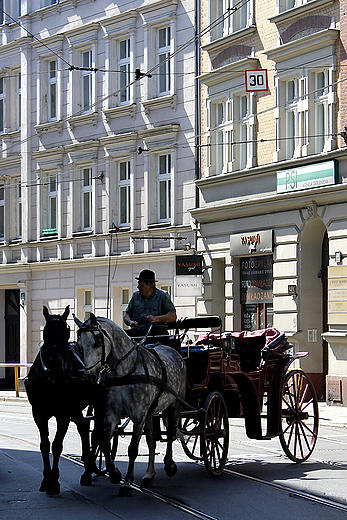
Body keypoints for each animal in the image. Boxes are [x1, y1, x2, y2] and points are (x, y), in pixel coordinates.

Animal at [24, 306, 94, 494]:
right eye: (46, 332)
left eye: (66, 332)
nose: (55, 362)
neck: (52, 378)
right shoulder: (39, 413)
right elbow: (44, 445)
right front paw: (45, 479)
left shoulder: (63, 414)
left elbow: (57, 446)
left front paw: (54, 482)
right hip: (75, 408)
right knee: (83, 427)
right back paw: (87, 469)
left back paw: (89, 469)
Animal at [74, 312, 188, 496]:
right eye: (79, 345)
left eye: (97, 341)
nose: (90, 376)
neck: (126, 371)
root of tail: (174, 351)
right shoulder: (111, 413)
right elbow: (104, 441)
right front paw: (114, 474)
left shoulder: (138, 415)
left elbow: (133, 449)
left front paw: (127, 483)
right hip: (151, 412)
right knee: (151, 440)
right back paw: (149, 475)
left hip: (175, 406)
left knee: (170, 433)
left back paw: (169, 465)